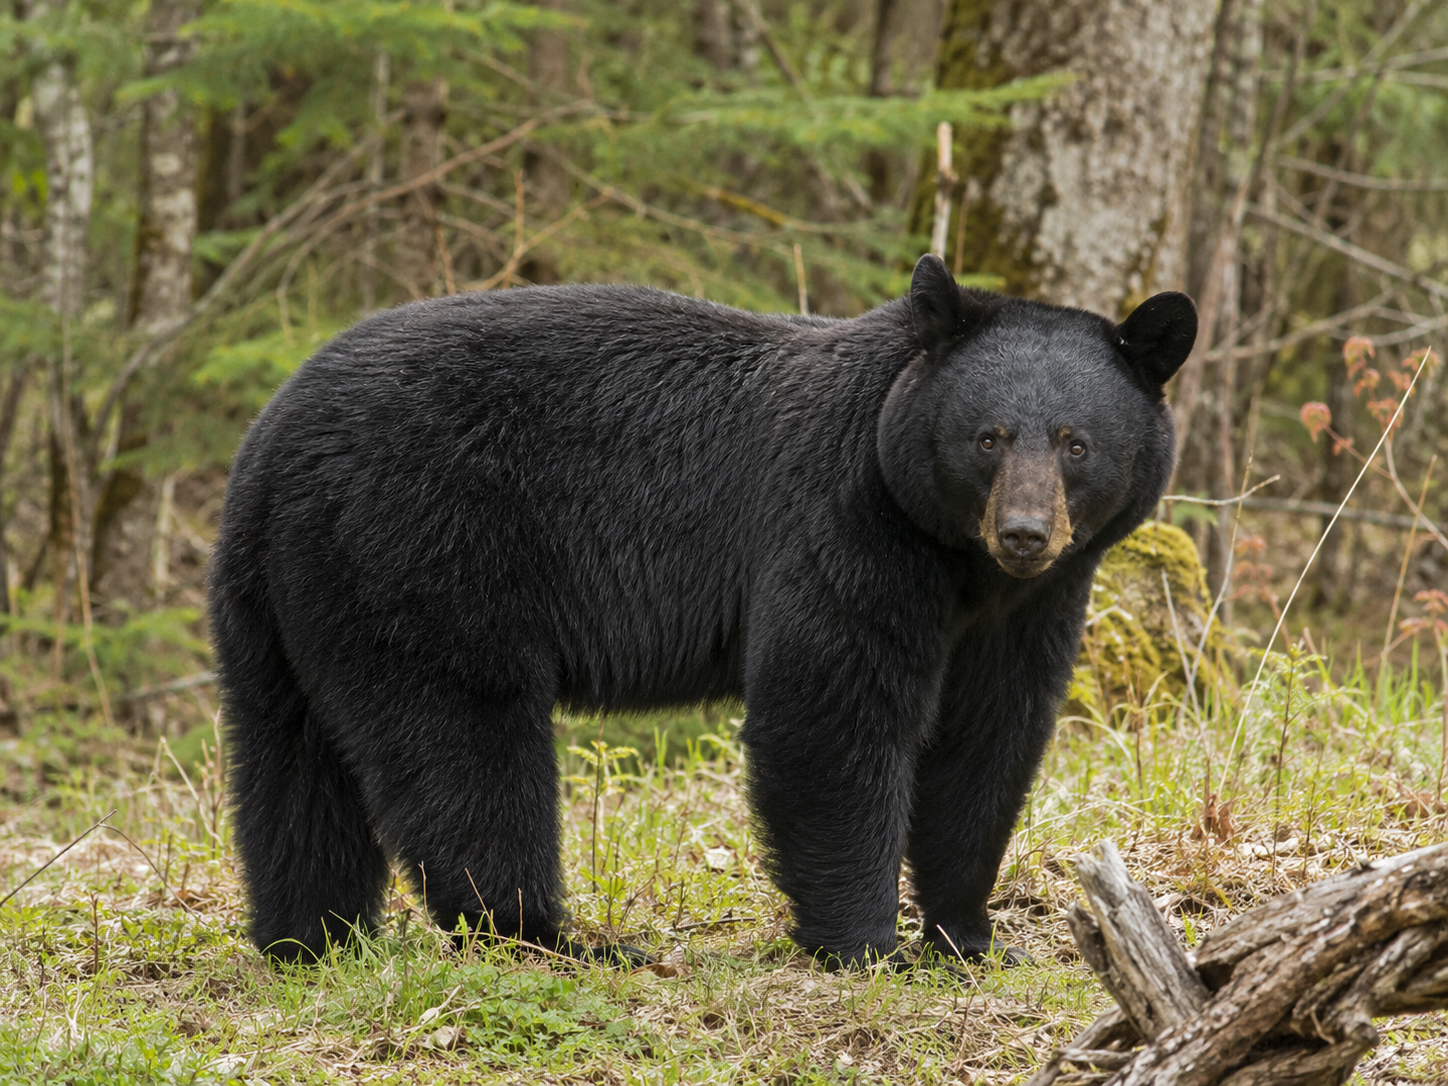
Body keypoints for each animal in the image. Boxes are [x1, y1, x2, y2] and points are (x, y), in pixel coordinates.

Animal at [209, 253, 1196, 967]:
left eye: (1075, 443)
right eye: (987, 438)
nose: (1025, 531)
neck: (957, 559)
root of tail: (268, 442)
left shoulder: (1027, 607)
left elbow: (989, 740)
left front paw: (969, 936)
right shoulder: (843, 522)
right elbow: (829, 712)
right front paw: (868, 944)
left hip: (282, 599)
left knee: (291, 764)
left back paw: (314, 938)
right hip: (421, 555)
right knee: (463, 743)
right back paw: (550, 936)